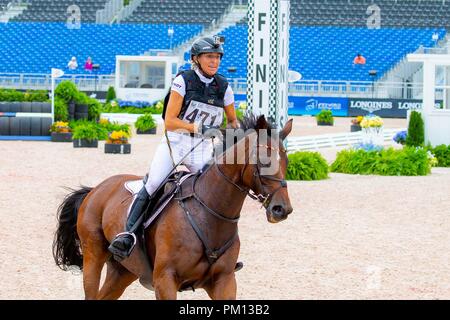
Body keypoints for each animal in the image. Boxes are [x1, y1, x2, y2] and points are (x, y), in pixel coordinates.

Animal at [53, 115, 292, 300]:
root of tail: (96, 189)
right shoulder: (165, 280)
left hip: (123, 269)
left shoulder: (224, 281)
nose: (282, 209)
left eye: (286, 161)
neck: (209, 213)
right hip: (94, 255)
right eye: (265, 161)